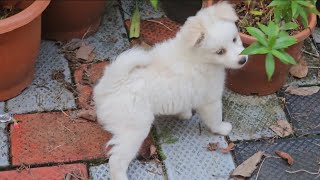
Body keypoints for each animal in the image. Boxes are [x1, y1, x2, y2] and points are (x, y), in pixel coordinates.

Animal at [93, 1, 248, 180]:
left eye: (235, 39)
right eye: (220, 52)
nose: (243, 60)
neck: (198, 57)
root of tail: (110, 86)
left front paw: (184, 114)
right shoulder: (211, 100)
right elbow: (215, 119)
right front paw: (222, 128)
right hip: (133, 131)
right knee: (116, 160)